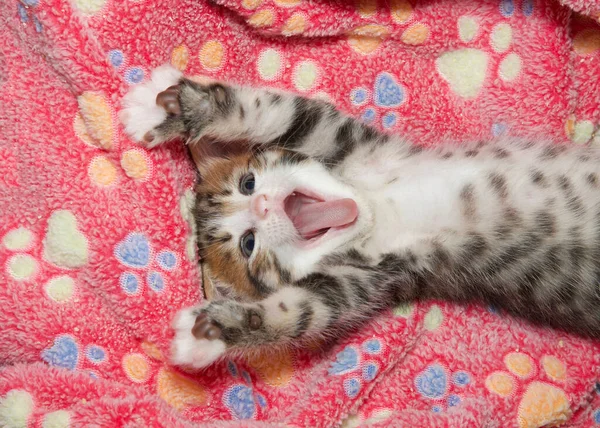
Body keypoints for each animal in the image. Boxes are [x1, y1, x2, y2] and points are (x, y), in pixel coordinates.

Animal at [120, 65, 600, 370]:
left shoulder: (342, 139)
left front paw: (174, 109)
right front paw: (215, 332)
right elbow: (307, 312)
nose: (263, 206)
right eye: (248, 244)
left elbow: (276, 112)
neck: (376, 207)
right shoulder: (369, 278)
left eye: (248, 183)